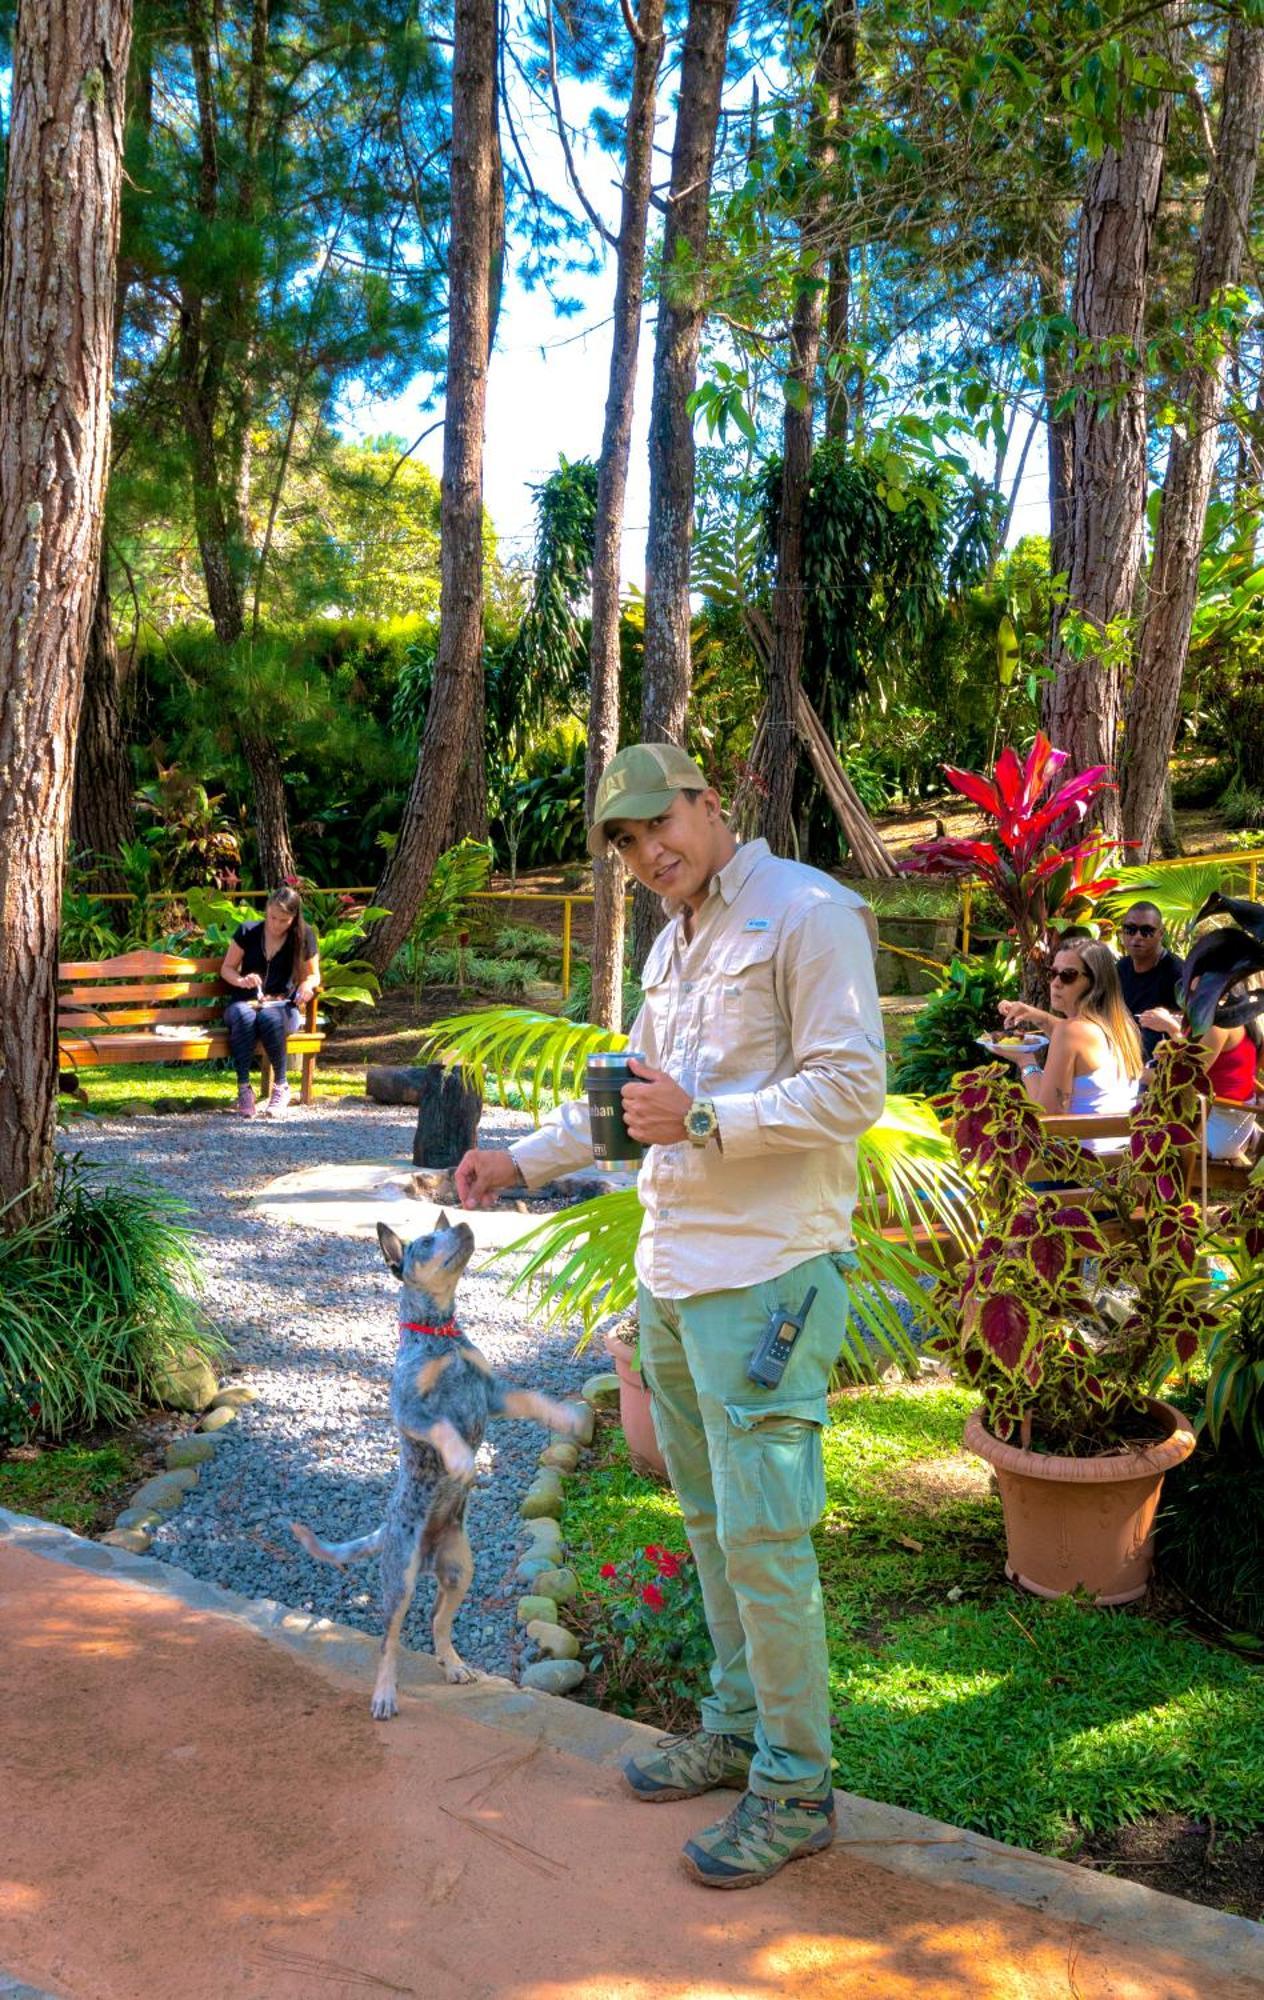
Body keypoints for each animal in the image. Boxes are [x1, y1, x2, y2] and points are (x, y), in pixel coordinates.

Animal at [292, 1208, 584, 1728]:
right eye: (427, 1241)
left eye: (445, 1230)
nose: (465, 1225)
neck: (440, 1339)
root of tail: (395, 1534)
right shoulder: (411, 1411)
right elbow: (445, 1428)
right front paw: (462, 1459)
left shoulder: (493, 1393)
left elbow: (533, 1398)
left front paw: (567, 1416)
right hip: (400, 1580)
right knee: (389, 1642)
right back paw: (384, 1695)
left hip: (460, 1571)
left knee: (436, 1622)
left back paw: (454, 1665)